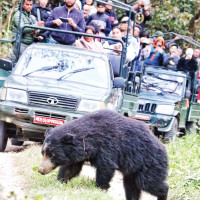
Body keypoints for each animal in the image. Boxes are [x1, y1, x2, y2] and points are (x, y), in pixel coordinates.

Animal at [38, 110, 169, 199]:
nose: (40, 170)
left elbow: (106, 168)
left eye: (52, 155)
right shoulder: (79, 154)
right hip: (133, 170)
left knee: (149, 183)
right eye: (43, 153)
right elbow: (70, 169)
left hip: (148, 164)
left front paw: (99, 189)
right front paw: (59, 182)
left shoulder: (108, 147)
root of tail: (164, 149)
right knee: (131, 187)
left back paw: (163, 194)